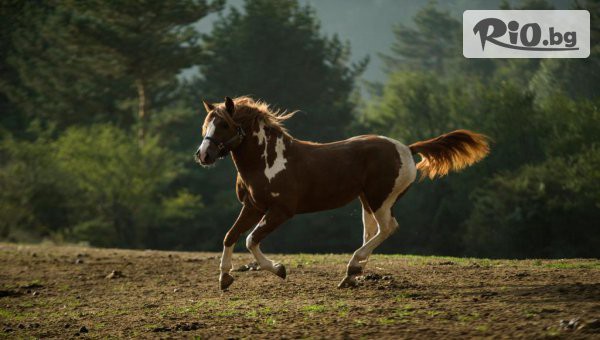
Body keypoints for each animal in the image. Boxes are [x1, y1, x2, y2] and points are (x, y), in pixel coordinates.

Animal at [195, 95, 490, 290]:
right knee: (372, 233)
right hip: (367, 201)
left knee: (388, 228)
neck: (269, 161)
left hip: (380, 200)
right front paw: (224, 278)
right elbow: (230, 236)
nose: (203, 155)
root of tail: (406, 148)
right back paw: (350, 276)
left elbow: (250, 240)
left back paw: (353, 266)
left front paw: (279, 269)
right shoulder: (252, 206)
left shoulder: (281, 211)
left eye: (224, 125)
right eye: (206, 125)